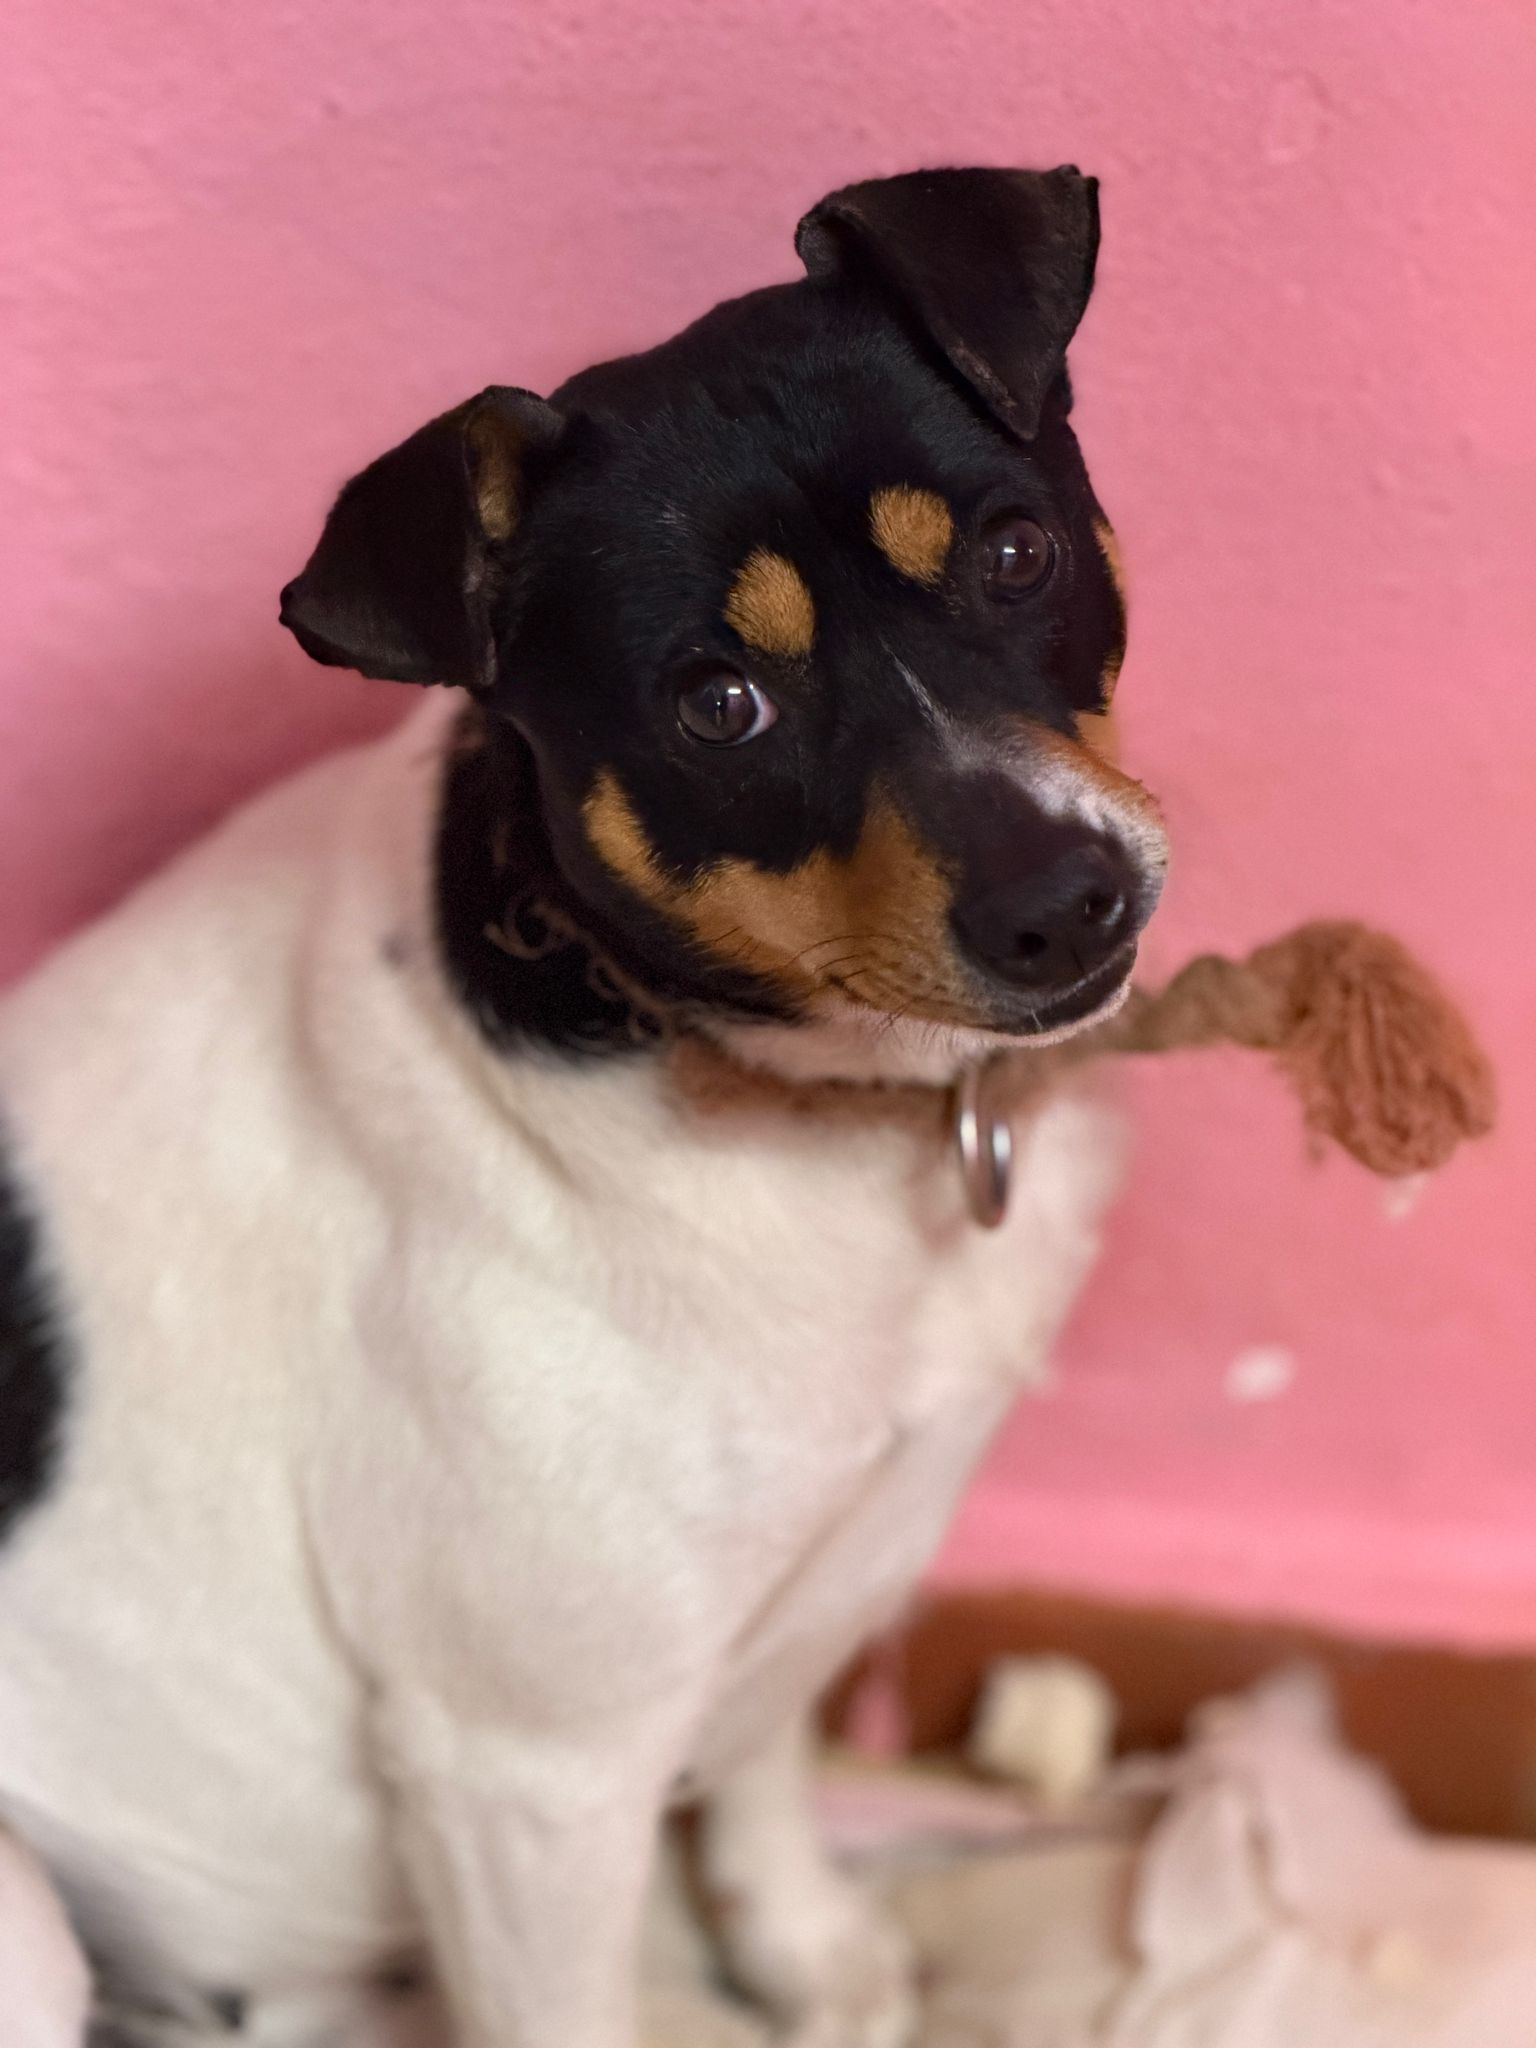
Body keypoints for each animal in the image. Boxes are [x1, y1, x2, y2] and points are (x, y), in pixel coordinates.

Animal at [0, 166, 1166, 2048]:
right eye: (717, 702)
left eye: (1012, 551)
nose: (1066, 904)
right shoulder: (525, 1768)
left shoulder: (786, 1582)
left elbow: (763, 1753)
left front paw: (802, 1942)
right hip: (32, 1920)